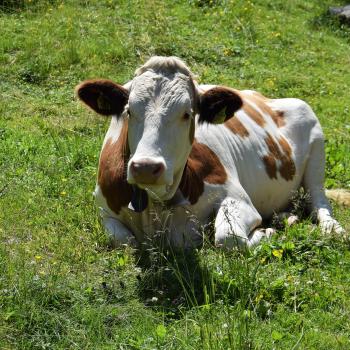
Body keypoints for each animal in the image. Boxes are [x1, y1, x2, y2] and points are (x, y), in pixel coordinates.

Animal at [76, 56, 344, 249]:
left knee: (319, 200)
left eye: (187, 113)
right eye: (129, 110)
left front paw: (264, 233)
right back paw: (286, 217)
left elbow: (228, 238)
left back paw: (333, 229)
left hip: (316, 144)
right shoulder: (103, 209)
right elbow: (125, 241)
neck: (156, 207)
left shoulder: (237, 196)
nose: (145, 167)